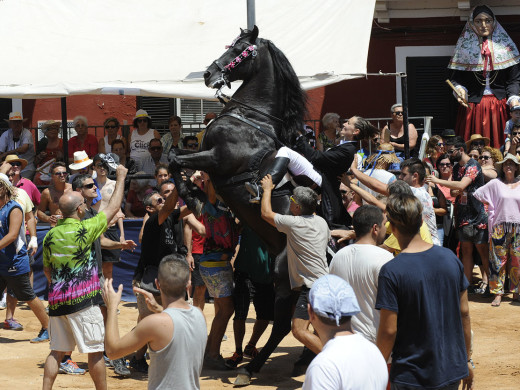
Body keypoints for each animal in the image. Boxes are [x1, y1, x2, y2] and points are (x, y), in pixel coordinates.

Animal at [170, 25, 308, 382]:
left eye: (240, 50)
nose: (209, 74)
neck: (248, 119)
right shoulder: (207, 157)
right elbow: (175, 157)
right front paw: (192, 197)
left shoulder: (217, 159)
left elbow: (175, 160)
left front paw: (191, 193)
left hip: (282, 281)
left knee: (282, 325)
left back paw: (252, 367)